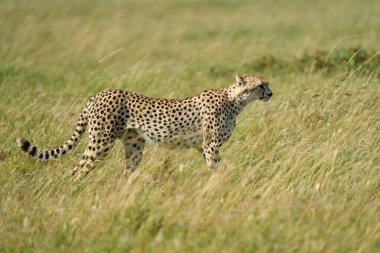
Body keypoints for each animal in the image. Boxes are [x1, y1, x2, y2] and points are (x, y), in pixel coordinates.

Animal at [17, 74, 274, 179]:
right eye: (260, 85)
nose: (271, 93)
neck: (235, 101)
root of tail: (99, 94)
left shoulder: (203, 146)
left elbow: (217, 165)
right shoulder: (210, 145)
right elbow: (215, 166)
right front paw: (219, 184)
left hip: (134, 145)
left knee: (126, 172)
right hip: (101, 143)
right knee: (78, 170)